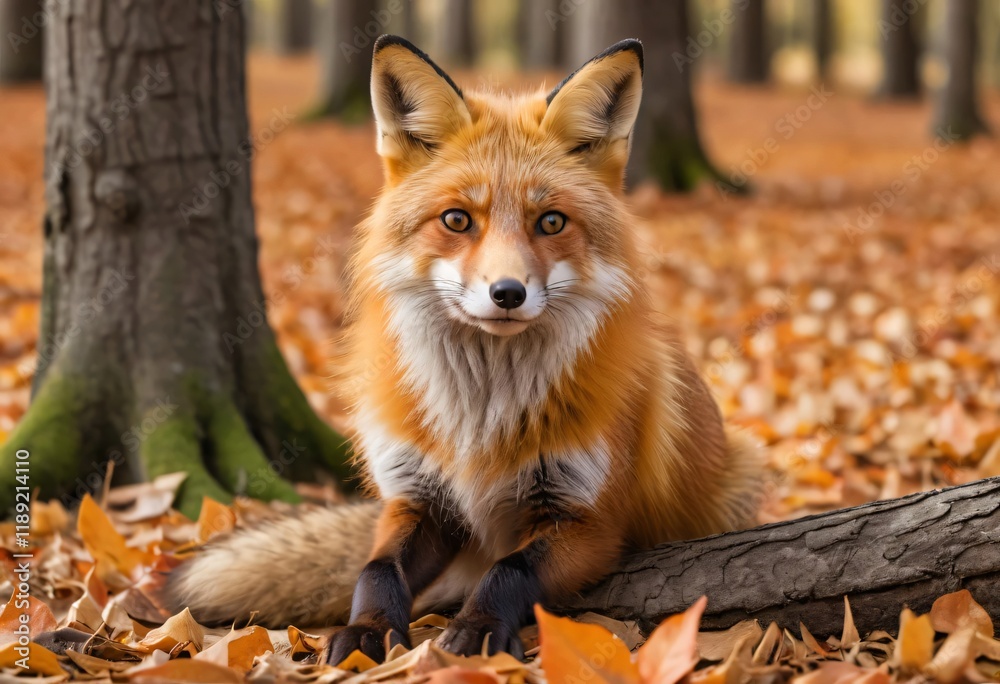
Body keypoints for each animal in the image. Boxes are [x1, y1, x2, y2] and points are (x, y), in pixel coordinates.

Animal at [167, 35, 764, 664]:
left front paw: (478, 630)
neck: (480, 416)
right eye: (457, 219)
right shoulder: (418, 498)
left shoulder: (589, 521)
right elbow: (374, 570)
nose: (507, 293)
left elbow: (509, 569)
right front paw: (366, 630)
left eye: (551, 222)